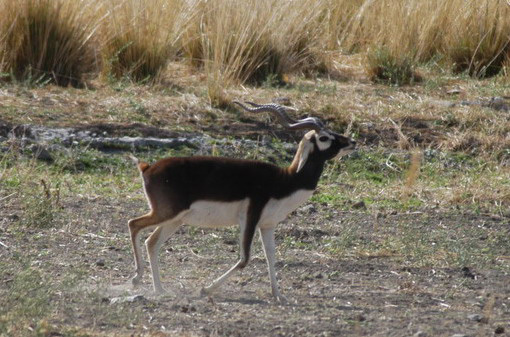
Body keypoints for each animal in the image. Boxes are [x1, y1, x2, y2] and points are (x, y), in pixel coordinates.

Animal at [128, 100, 354, 302]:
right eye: (324, 137)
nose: (352, 142)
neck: (285, 181)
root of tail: (148, 168)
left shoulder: (268, 225)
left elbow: (271, 256)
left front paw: (278, 295)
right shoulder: (250, 218)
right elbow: (245, 258)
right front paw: (205, 290)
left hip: (175, 220)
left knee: (152, 242)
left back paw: (159, 289)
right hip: (166, 213)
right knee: (134, 224)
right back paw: (136, 279)